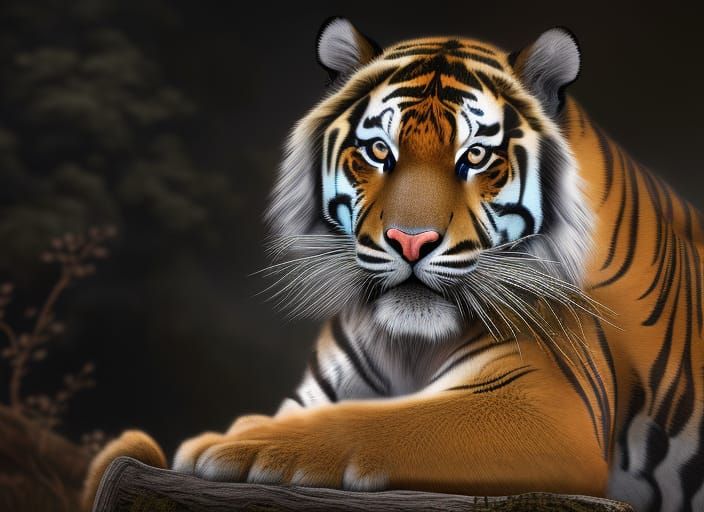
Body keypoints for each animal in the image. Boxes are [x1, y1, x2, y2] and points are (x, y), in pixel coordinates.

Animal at [83, 18, 704, 512]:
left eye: (476, 156)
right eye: (380, 151)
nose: (410, 241)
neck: (407, 343)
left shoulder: (546, 408)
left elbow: (386, 420)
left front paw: (232, 443)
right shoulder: (316, 392)